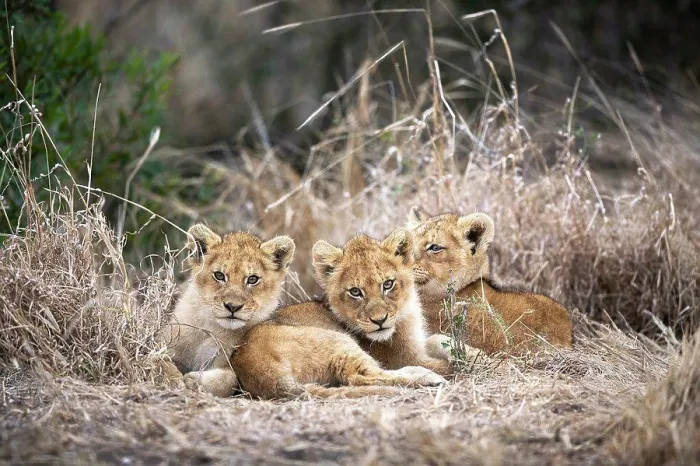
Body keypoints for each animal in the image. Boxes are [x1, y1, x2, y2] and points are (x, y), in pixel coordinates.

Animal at [160, 224, 295, 397]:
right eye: (219, 275)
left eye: (252, 279)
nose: (232, 306)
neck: (211, 327)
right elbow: (158, 359)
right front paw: (174, 380)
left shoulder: (234, 369)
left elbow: (229, 380)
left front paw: (194, 380)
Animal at [272, 228, 454, 376]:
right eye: (355, 291)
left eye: (388, 284)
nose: (379, 320)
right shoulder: (409, 359)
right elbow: (447, 366)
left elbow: (438, 339)